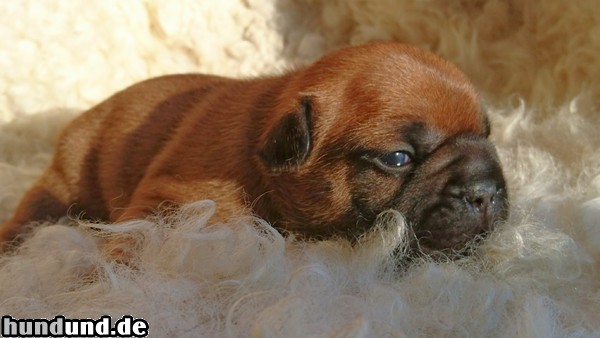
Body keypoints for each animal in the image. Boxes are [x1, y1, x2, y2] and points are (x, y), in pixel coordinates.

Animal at [0, 42, 506, 258]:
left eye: (487, 134)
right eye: (397, 159)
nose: (486, 190)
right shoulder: (172, 199)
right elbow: (135, 237)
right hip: (63, 181)